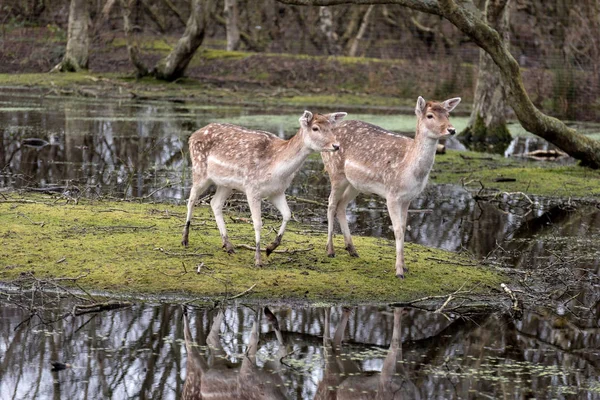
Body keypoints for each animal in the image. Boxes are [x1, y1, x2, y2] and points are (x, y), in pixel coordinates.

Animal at [180, 110, 344, 266]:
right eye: (315, 128)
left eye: (332, 127)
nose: (336, 145)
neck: (277, 170)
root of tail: (193, 135)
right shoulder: (252, 188)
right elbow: (258, 222)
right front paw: (258, 259)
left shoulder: (277, 192)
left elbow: (287, 214)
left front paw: (270, 248)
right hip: (199, 169)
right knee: (191, 199)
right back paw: (185, 239)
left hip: (226, 184)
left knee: (214, 203)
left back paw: (228, 246)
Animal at [324, 96, 460, 278]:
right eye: (430, 115)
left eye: (448, 114)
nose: (451, 130)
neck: (410, 171)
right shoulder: (392, 195)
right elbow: (397, 230)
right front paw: (399, 271)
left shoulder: (408, 198)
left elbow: (403, 227)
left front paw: (405, 266)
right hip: (335, 171)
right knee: (331, 203)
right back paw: (330, 250)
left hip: (355, 183)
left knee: (341, 205)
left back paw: (352, 249)